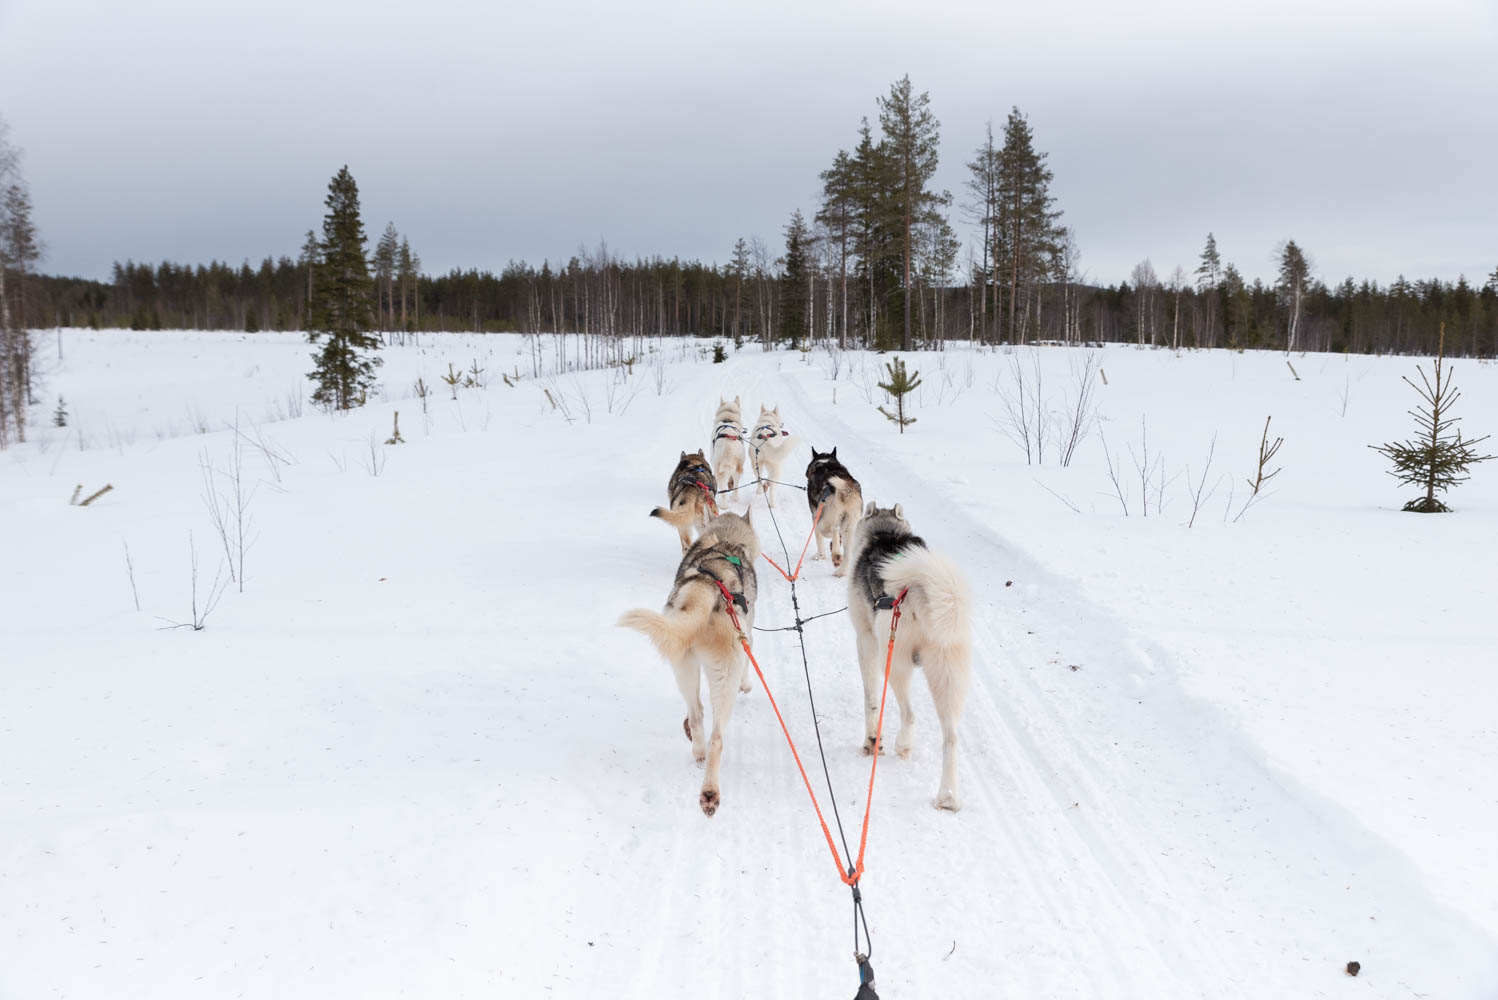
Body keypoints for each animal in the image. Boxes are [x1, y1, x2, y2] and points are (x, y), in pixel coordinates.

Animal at [617, 514, 760, 814]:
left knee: (696, 715)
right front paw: (747, 685)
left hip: (683, 662)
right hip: (725, 670)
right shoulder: (749, 635)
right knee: (717, 737)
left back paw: (700, 760)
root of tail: (708, 588)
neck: (724, 542)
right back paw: (710, 790)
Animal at [808, 446, 868, 577]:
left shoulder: (815, 517)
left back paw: (836, 554)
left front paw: (819, 556)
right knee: (847, 553)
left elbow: (819, 541)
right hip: (850, 526)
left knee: (833, 530)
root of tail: (848, 489)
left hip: (824, 520)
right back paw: (841, 571)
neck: (825, 462)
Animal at [850, 502, 964, 808]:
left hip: (894, 660)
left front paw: (871, 740)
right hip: (946, 677)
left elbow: (870, 701)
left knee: (909, 714)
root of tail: (919, 592)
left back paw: (902, 744)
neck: (885, 532)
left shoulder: (865, 640)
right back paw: (947, 796)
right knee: (950, 739)